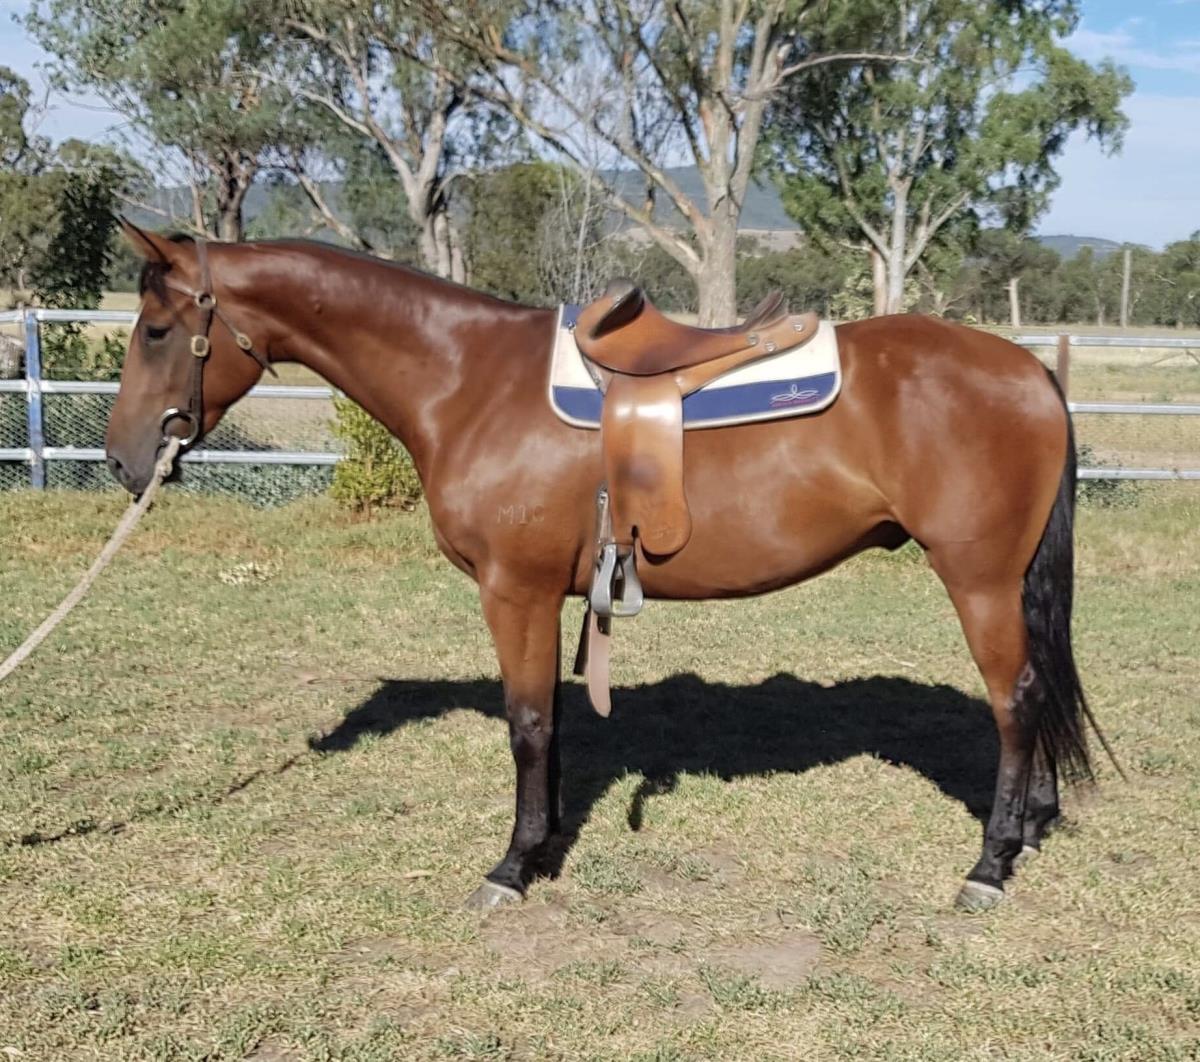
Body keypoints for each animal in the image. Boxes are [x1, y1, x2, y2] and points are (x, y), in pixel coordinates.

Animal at [105, 221, 1112, 913]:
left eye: (155, 329)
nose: (122, 461)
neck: (468, 380)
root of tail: (1028, 372)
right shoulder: (549, 595)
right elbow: (550, 723)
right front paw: (546, 846)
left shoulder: (511, 589)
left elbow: (525, 725)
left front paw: (512, 867)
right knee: (1033, 691)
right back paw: (1030, 826)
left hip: (977, 580)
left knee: (1015, 699)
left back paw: (989, 864)